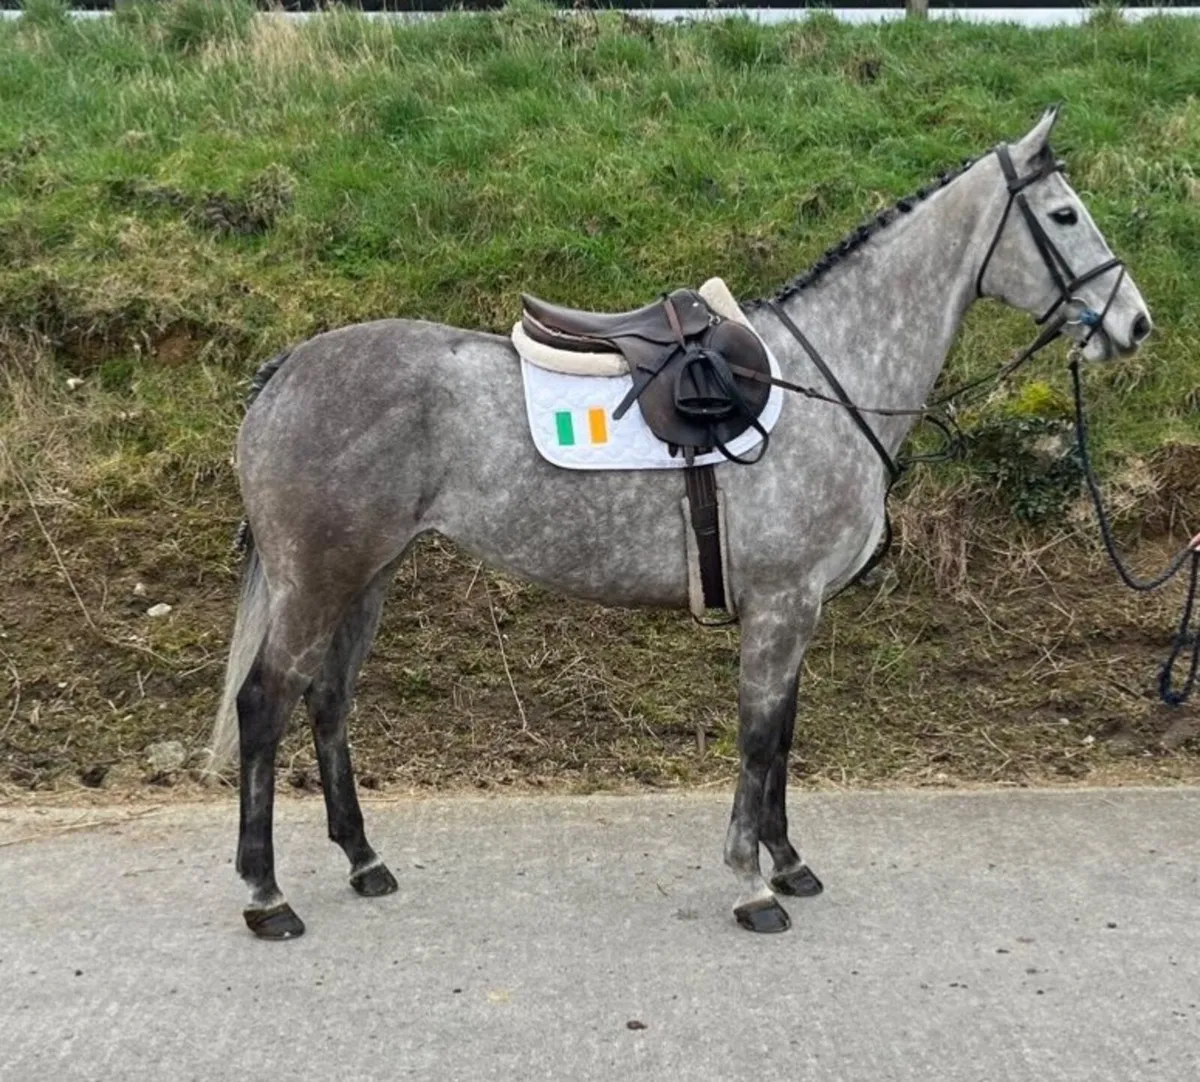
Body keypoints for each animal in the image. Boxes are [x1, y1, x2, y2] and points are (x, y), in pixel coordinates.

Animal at [209, 107, 1151, 939]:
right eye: (1064, 214)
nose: (1136, 323)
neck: (830, 376)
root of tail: (286, 369)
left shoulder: (796, 609)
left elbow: (783, 736)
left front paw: (787, 862)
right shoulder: (780, 606)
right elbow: (759, 737)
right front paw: (750, 884)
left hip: (366, 576)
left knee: (329, 700)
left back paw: (363, 861)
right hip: (318, 579)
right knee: (266, 703)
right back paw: (265, 896)